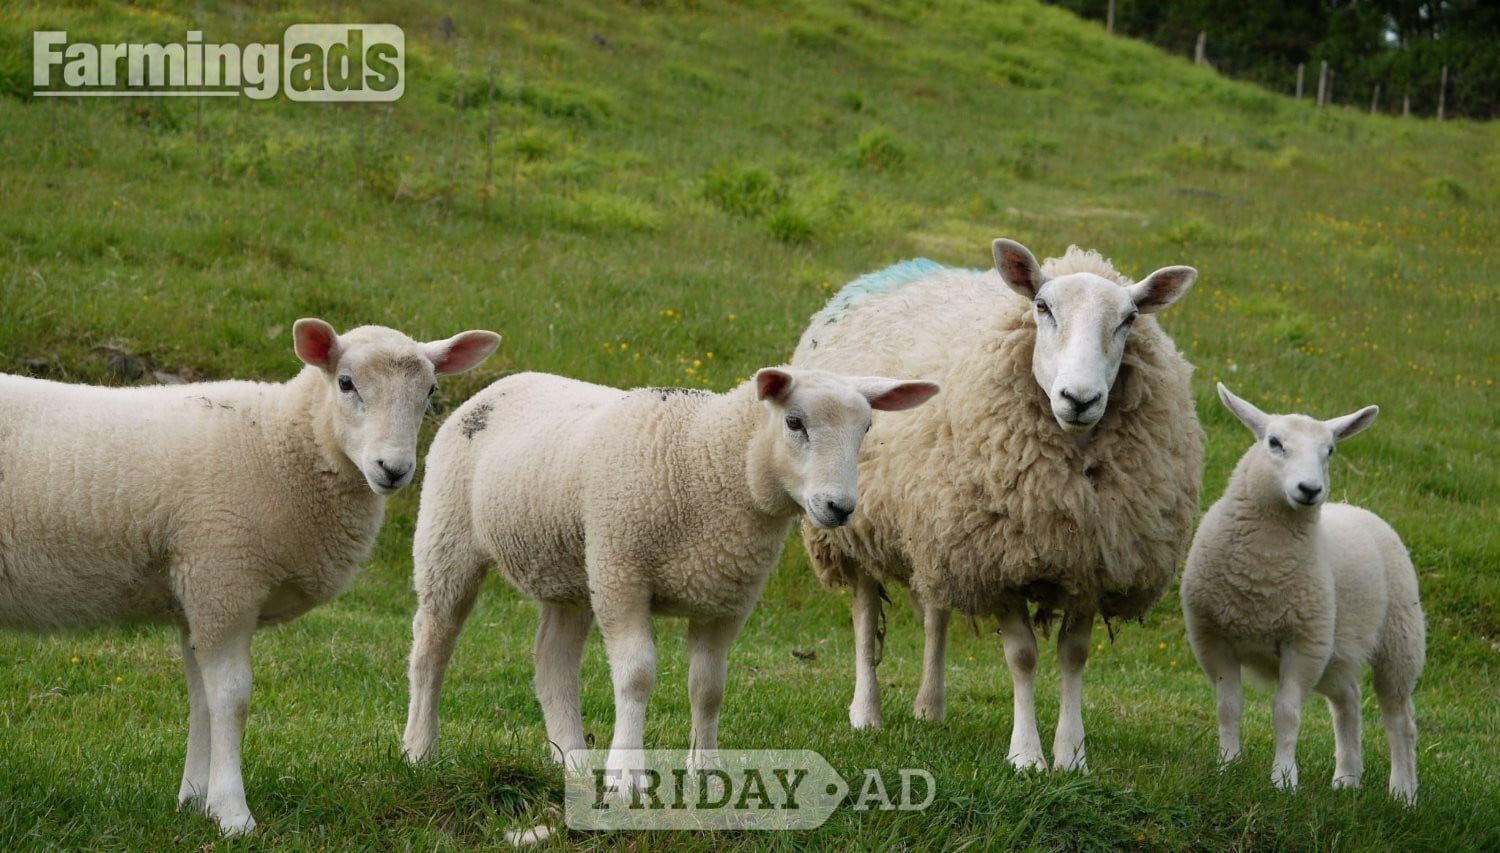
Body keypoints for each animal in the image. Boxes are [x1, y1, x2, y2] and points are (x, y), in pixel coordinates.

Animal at [0, 319, 501, 834]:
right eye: (346, 383)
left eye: (431, 390)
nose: (394, 469)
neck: (281, 442)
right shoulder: (223, 578)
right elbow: (230, 697)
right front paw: (232, 812)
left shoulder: (198, 594)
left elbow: (201, 697)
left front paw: (193, 800)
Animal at [401, 367, 938, 779]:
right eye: (794, 422)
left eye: (866, 429)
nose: (839, 507)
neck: (708, 461)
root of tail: (502, 385)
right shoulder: (623, 576)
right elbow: (637, 676)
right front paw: (626, 777)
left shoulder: (727, 599)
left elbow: (709, 687)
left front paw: (707, 772)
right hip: (448, 539)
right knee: (432, 645)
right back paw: (419, 748)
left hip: (575, 570)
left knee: (553, 661)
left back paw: (572, 760)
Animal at [793, 238, 1202, 772]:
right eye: (1042, 307)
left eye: (1129, 318)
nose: (1079, 398)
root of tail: (895, 269)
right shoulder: (997, 561)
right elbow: (1023, 656)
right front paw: (1026, 757)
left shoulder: (1091, 560)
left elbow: (1074, 654)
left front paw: (1072, 756)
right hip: (853, 526)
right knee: (864, 614)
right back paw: (866, 713)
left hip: (936, 525)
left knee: (936, 612)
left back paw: (929, 707)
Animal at [1180, 384, 1425, 802]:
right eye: (1274, 443)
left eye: (1330, 450)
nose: (1309, 489)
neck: (1261, 576)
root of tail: (1358, 509)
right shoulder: (1212, 636)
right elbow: (1229, 705)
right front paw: (1228, 767)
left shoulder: (1304, 643)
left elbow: (1287, 713)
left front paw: (1283, 780)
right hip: (1336, 652)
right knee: (1348, 703)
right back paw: (1347, 780)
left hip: (1399, 640)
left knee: (1399, 719)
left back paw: (1404, 793)